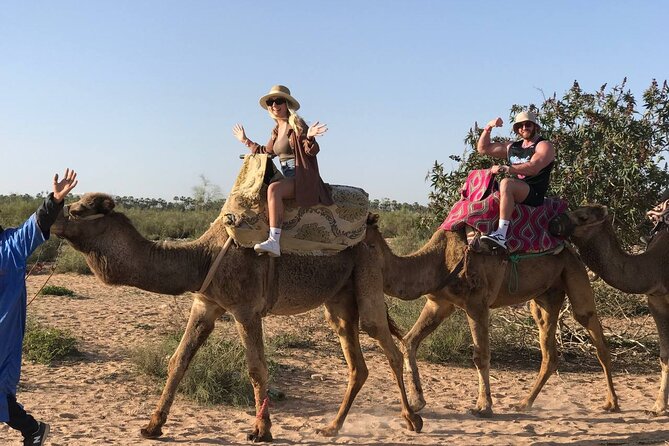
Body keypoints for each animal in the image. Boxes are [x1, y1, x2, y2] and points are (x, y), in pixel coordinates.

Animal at [51, 193, 422, 442]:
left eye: (78, 210)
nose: (50, 217)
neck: (202, 257)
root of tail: (373, 228)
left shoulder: (246, 308)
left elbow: (256, 369)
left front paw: (261, 430)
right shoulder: (205, 304)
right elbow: (178, 360)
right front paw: (152, 426)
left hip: (367, 273)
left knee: (385, 342)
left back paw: (412, 418)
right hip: (338, 299)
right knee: (357, 362)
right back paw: (332, 426)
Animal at [362, 217, 620, 418]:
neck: (438, 259)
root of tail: (569, 247)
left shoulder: (476, 303)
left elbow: (481, 355)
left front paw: (483, 407)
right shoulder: (439, 303)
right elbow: (409, 341)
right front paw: (417, 402)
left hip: (574, 271)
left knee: (593, 330)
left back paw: (612, 403)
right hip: (545, 297)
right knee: (549, 350)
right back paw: (524, 403)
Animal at [548, 206, 668, 414]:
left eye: (583, 217)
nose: (554, 222)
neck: (656, 267)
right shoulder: (656, 302)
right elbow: (664, 356)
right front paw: (658, 406)